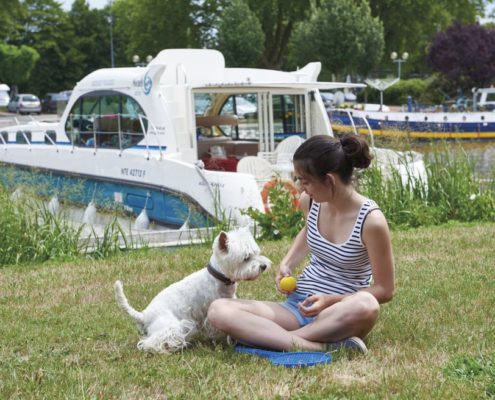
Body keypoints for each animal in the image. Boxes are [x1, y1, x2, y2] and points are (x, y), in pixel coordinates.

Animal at [114, 228, 272, 354]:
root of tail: (143, 315)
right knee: (150, 342)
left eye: (256, 252)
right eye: (246, 258)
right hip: (171, 326)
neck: (219, 277)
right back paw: (167, 347)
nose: (264, 266)